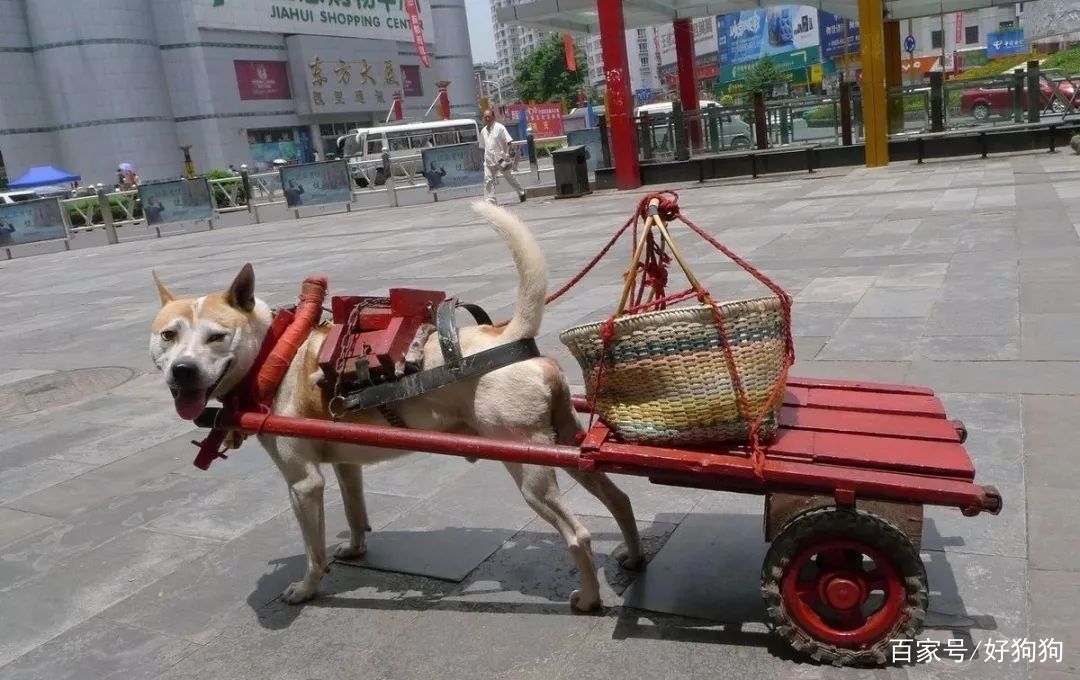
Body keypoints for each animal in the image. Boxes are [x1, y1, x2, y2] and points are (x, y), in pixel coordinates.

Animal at [150, 204, 639, 613]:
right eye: (167, 335)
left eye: (217, 336)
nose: (182, 371)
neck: (275, 352)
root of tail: (507, 337)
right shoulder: (345, 462)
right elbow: (354, 512)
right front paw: (355, 549)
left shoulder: (303, 483)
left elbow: (313, 549)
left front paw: (307, 589)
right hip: (568, 442)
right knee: (618, 497)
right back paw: (633, 556)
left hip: (529, 466)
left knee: (578, 534)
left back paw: (588, 599)